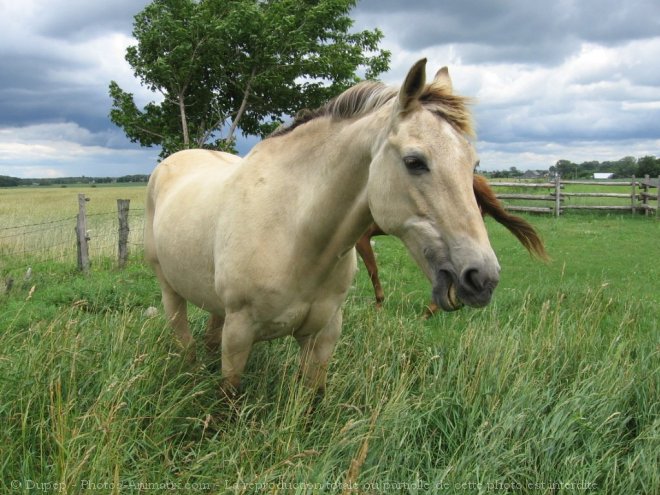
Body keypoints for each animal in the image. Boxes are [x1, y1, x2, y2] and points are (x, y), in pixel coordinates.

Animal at [146, 59, 500, 400]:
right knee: (183, 337)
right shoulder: (238, 335)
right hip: (170, 290)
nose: (482, 278)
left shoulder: (322, 337)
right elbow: (228, 397)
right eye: (414, 162)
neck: (294, 234)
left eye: (472, 165)